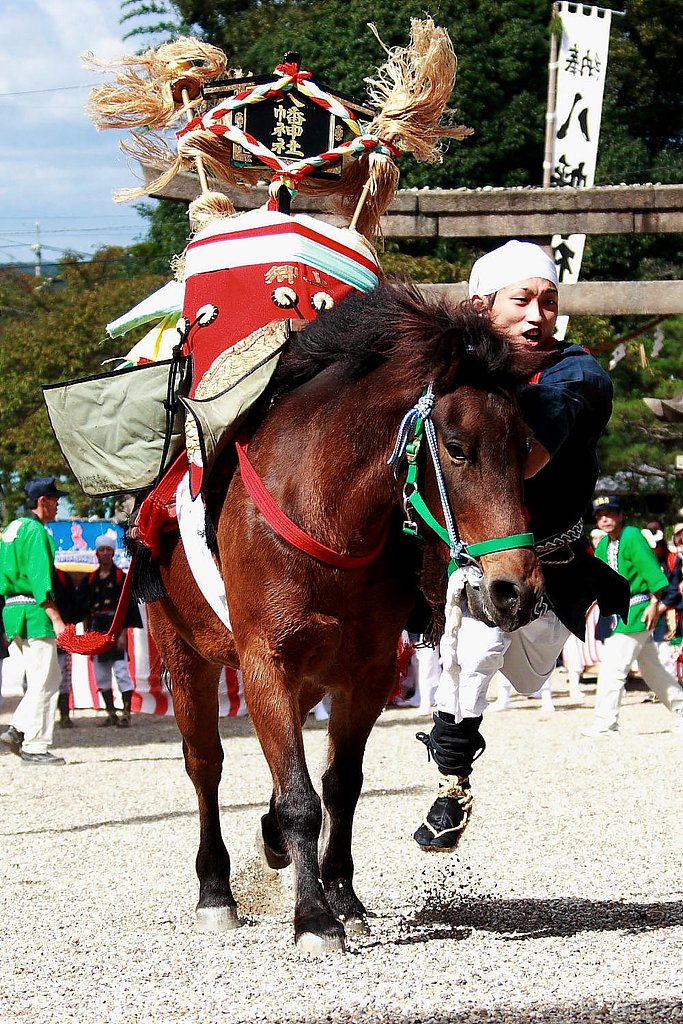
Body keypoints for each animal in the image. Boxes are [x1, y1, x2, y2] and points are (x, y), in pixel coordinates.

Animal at [144, 280, 548, 954]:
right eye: (457, 449)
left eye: (526, 452)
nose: (515, 589)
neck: (324, 511)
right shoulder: (266, 660)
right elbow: (301, 798)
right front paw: (313, 919)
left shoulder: (368, 669)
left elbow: (340, 786)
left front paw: (342, 896)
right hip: (183, 649)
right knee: (205, 765)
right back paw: (215, 890)